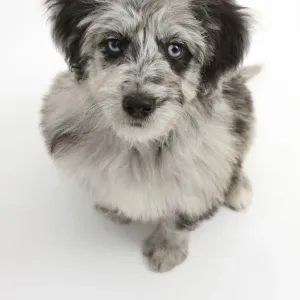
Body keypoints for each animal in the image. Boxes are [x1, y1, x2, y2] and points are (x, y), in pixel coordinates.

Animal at [41, 0, 258, 272]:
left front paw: (167, 249)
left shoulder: (200, 178)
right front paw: (114, 210)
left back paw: (238, 189)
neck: (140, 146)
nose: (138, 105)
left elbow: (178, 220)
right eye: (114, 44)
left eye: (176, 49)